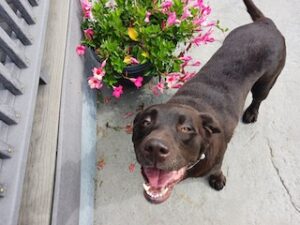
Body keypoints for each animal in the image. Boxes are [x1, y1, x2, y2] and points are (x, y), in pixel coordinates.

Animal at [132, 0, 286, 204]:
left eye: (186, 128)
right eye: (146, 122)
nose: (155, 148)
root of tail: (266, 23)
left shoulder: (219, 156)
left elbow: (217, 167)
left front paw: (217, 178)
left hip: (267, 81)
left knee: (258, 98)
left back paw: (252, 112)